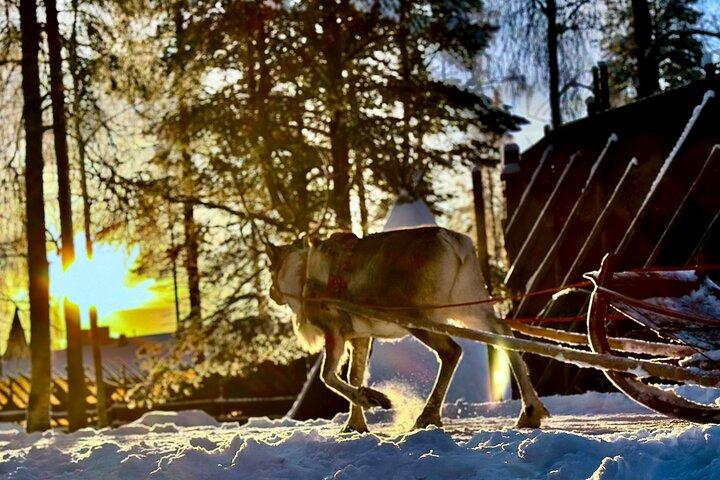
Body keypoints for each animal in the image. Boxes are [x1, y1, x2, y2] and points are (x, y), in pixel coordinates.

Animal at [267, 226, 549, 433]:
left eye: (270, 268)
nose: (271, 293)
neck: (300, 277)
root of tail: (454, 242)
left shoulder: (334, 330)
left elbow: (328, 375)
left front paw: (373, 399)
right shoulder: (360, 336)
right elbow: (355, 376)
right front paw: (355, 424)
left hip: (416, 316)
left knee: (452, 351)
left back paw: (427, 416)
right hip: (467, 305)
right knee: (503, 332)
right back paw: (530, 411)